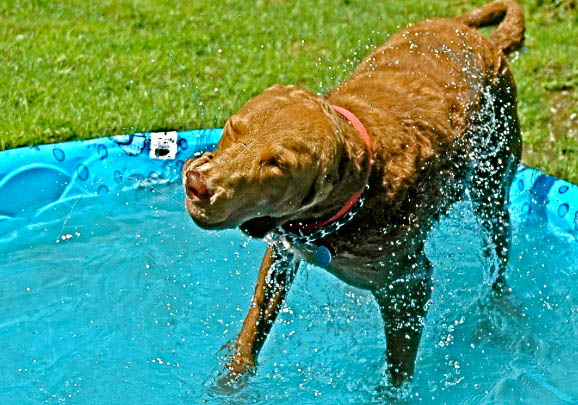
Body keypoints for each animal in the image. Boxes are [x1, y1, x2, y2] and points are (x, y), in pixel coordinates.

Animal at [183, 0, 520, 386]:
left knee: (497, 256)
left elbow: (398, 371)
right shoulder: (282, 253)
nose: (197, 184)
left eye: (277, 165)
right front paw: (232, 382)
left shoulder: (408, 285)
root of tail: (481, 39)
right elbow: (253, 329)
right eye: (233, 128)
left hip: (492, 185)